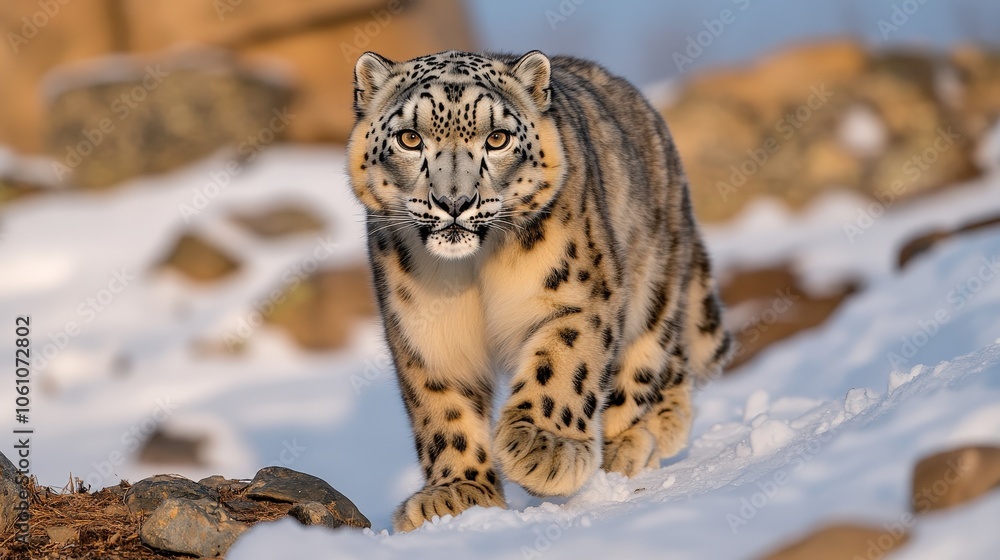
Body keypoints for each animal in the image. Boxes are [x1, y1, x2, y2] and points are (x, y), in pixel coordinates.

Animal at [347, 49, 732, 532]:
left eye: (497, 138)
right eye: (410, 138)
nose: (454, 203)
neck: (473, 270)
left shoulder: (576, 296)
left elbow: (561, 364)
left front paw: (544, 449)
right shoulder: (424, 327)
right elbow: (442, 408)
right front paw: (456, 494)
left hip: (653, 278)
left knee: (654, 352)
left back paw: (635, 438)